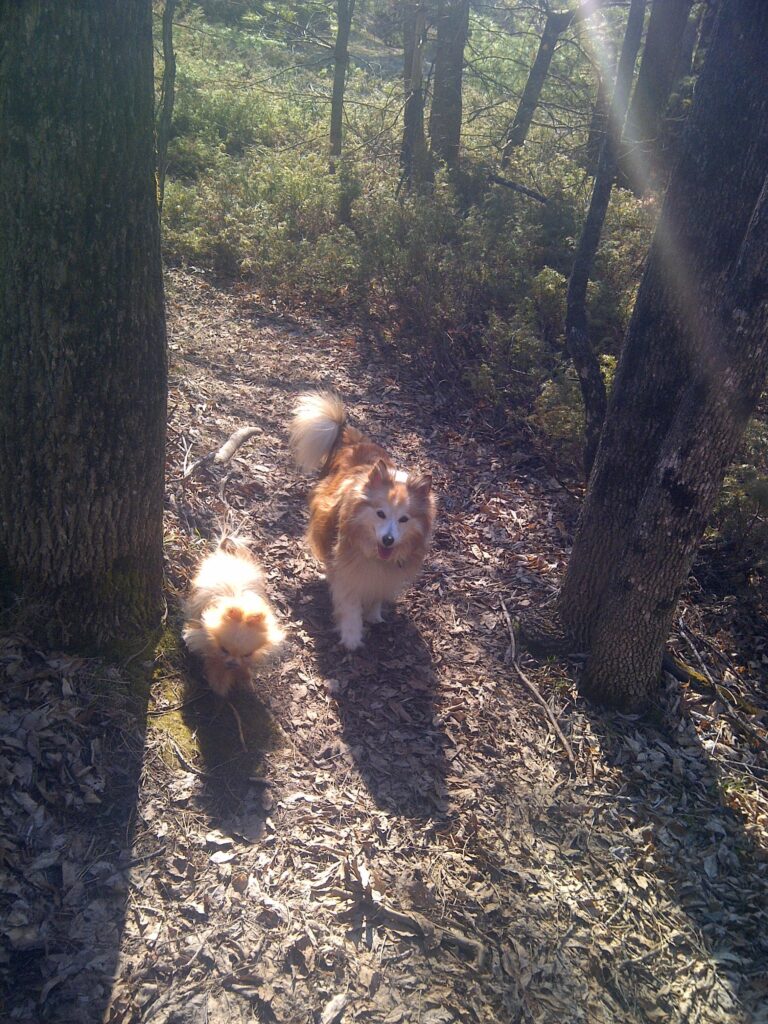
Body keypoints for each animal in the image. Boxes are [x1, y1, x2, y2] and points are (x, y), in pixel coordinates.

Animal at [290, 391, 436, 647]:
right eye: (380, 513)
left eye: (404, 519)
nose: (388, 540)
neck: (375, 555)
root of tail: (354, 440)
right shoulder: (347, 571)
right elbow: (349, 603)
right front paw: (351, 636)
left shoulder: (384, 576)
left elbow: (375, 594)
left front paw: (373, 614)